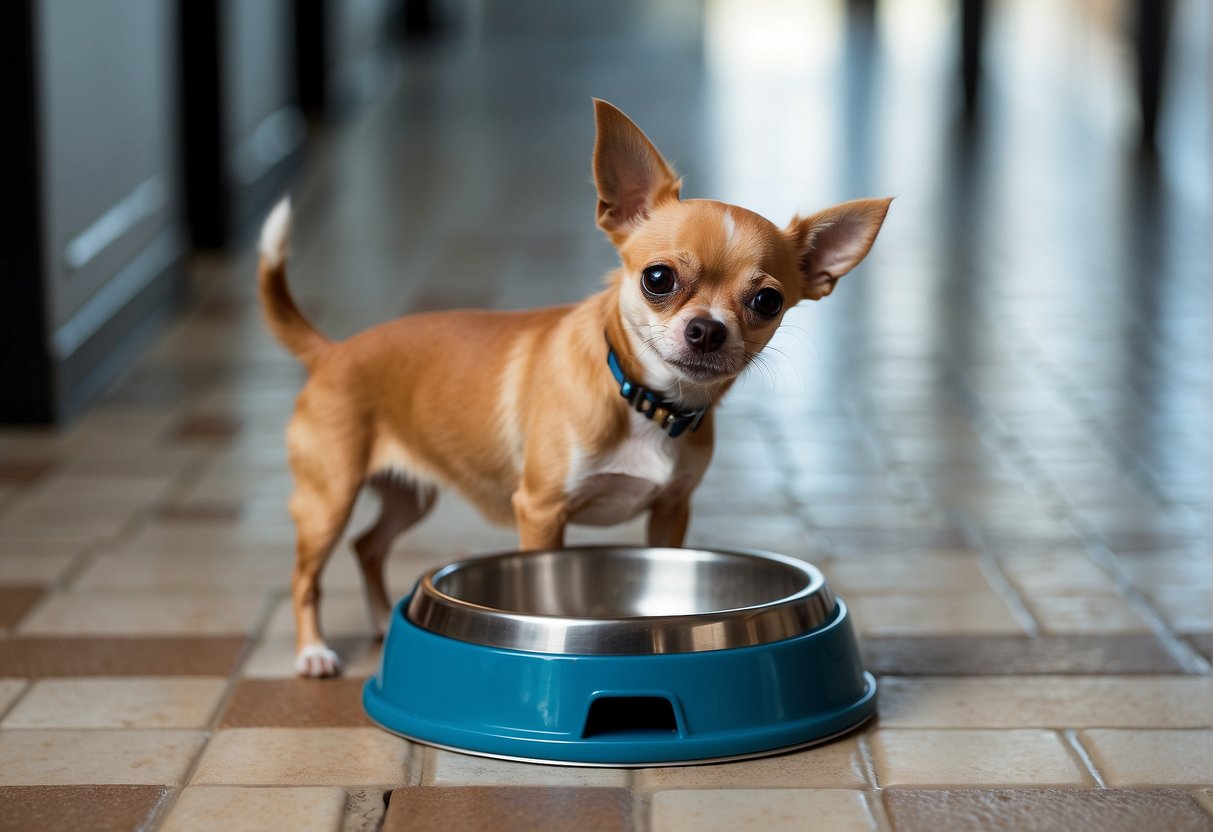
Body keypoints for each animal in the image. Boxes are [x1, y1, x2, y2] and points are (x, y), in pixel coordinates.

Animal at [258, 101, 892, 679]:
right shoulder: (540, 511)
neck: (645, 401)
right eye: (658, 278)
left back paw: (376, 619)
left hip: (407, 496)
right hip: (330, 498)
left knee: (368, 546)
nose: (708, 329)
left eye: (768, 301)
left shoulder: (671, 512)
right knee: (304, 575)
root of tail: (332, 351)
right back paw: (313, 653)